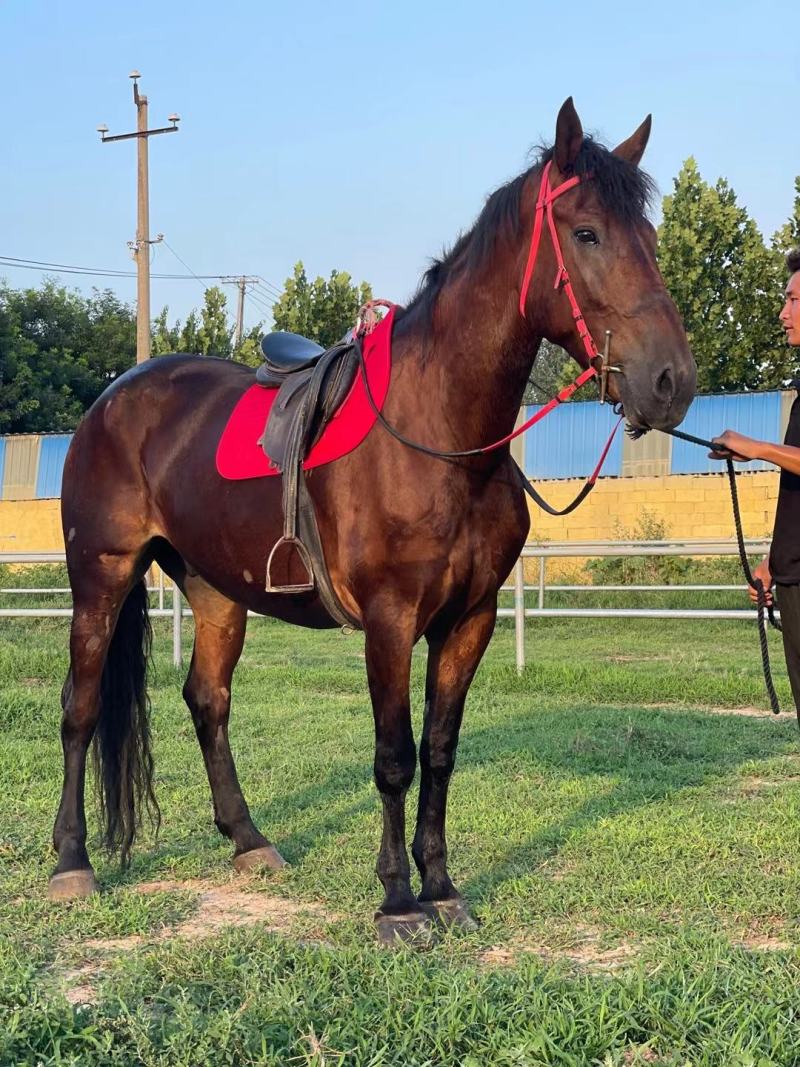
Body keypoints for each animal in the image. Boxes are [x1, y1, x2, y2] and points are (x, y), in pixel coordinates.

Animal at [49, 98, 696, 943]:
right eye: (586, 233)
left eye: (649, 239)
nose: (671, 381)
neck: (442, 434)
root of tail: (115, 396)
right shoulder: (391, 619)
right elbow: (394, 756)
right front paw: (396, 900)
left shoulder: (469, 621)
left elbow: (441, 750)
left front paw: (443, 886)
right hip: (102, 577)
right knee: (82, 707)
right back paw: (71, 861)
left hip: (216, 589)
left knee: (207, 700)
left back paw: (248, 839)